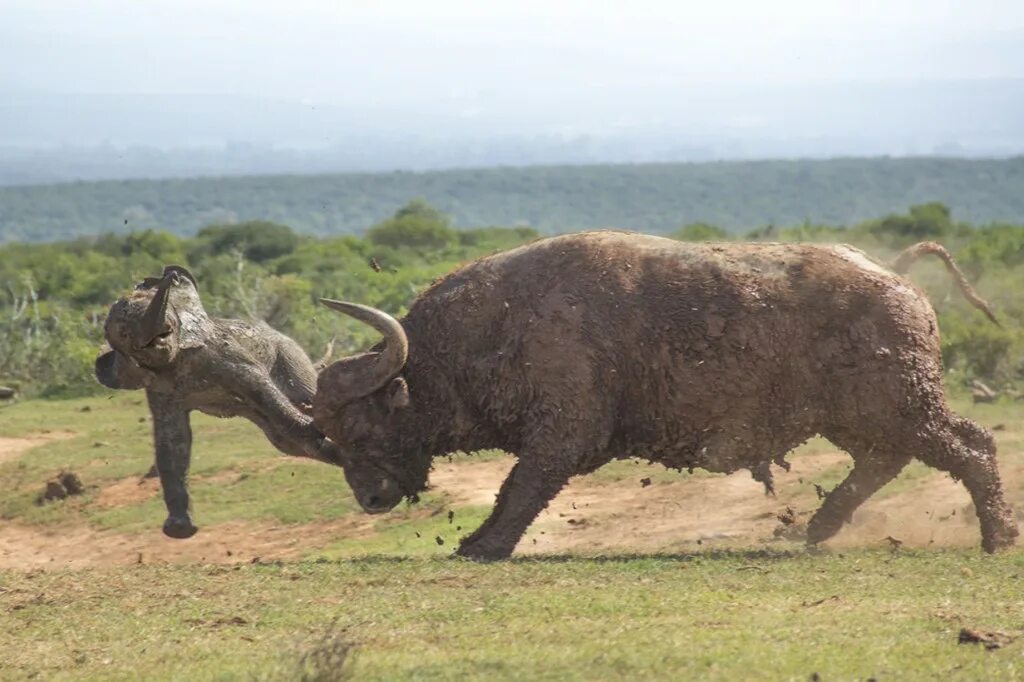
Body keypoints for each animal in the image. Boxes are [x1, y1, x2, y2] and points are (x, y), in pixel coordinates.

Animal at [313, 229, 1015, 557]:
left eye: (363, 427)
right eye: (333, 438)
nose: (370, 498)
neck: (496, 327)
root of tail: (894, 277)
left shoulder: (561, 434)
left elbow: (519, 490)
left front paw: (482, 546)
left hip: (901, 406)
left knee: (971, 448)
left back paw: (999, 537)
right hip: (865, 416)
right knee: (888, 459)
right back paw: (817, 527)